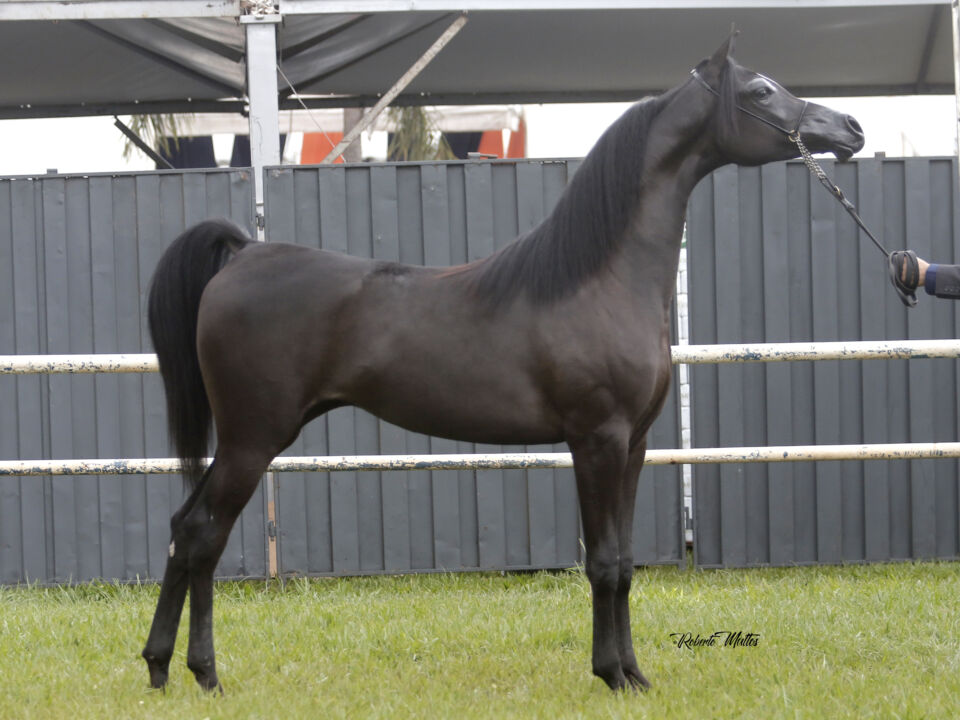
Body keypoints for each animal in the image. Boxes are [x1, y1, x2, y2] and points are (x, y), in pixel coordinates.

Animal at [141, 34, 864, 693]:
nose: (849, 128)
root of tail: (243, 252)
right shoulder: (596, 440)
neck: (600, 277)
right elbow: (603, 563)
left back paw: (159, 668)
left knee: (181, 530)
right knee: (203, 535)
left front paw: (633, 674)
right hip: (253, 439)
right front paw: (612, 675)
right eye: (760, 91)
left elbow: (627, 563)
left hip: (242, 441)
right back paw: (206, 675)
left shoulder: (634, 445)